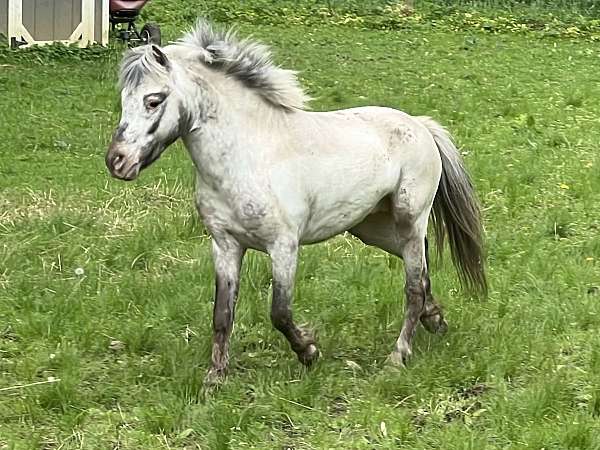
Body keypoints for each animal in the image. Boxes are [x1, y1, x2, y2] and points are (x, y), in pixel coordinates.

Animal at [105, 18, 486, 384]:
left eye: (154, 100)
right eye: (123, 99)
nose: (117, 162)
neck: (248, 156)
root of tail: (421, 126)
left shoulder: (283, 246)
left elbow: (279, 312)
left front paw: (309, 352)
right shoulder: (225, 245)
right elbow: (222, 313)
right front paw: (215, 377)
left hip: (409, 219)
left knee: (413, 285)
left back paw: (398, 356)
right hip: (373, 228)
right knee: (421, 268)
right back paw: (435, 321)